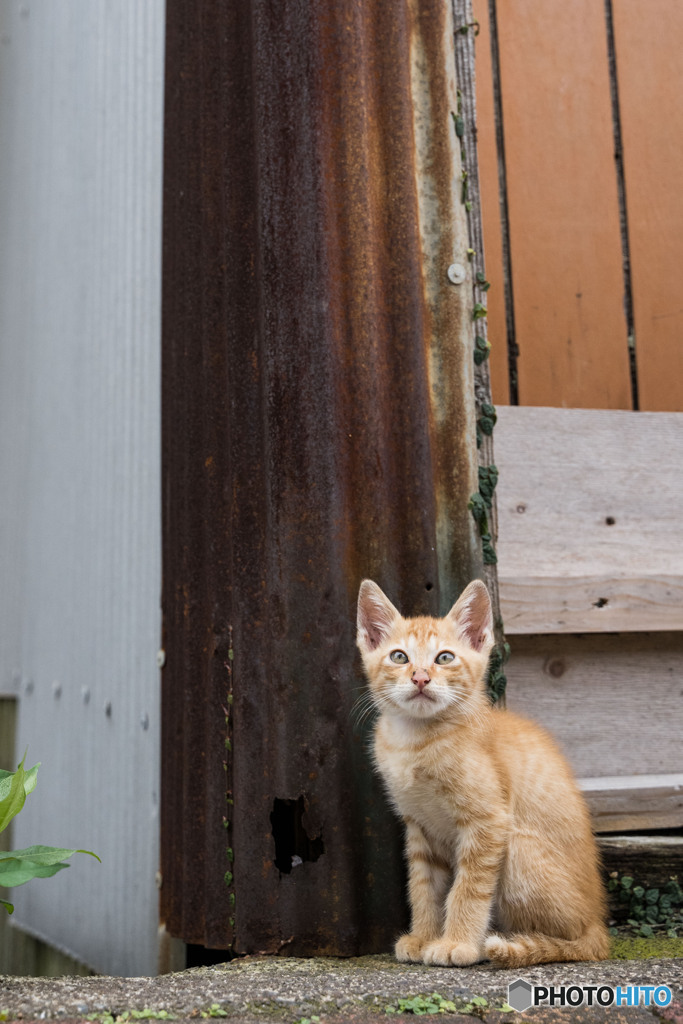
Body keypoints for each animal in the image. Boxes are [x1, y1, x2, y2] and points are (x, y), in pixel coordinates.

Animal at [358, 581, 610, 962]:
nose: (420, 678)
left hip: (517, 845)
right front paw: (423, 936)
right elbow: (423, 886)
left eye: (444, 658)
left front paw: (457, 943)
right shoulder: (419, 825)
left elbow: (468, 888)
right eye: (399, 657)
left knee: (570, 939)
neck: (415, 740)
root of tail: (597, 922)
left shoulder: (488, 821)